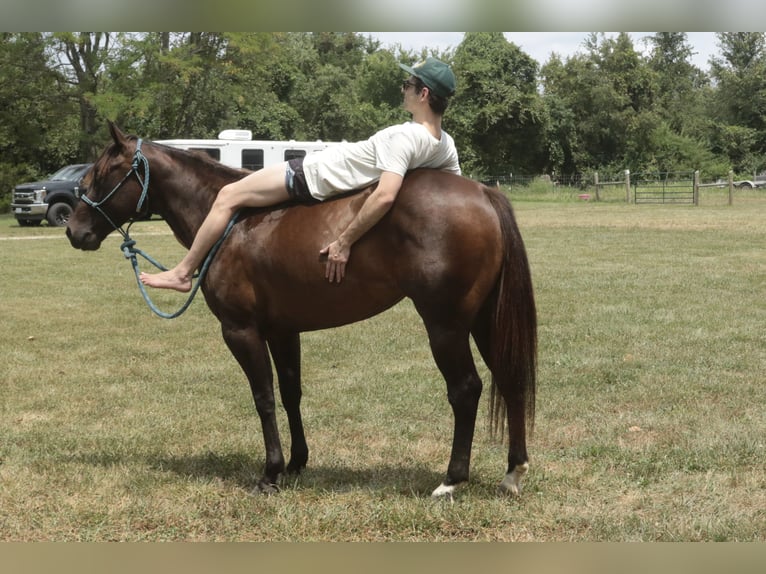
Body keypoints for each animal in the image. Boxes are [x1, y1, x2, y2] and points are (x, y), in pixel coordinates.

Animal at [66, 122, 537, 498]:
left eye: (103, 173)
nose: (74, 230)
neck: (231, 223)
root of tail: (483, 193)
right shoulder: (283, 330)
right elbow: (291, 393)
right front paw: (296, 463)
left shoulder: (241, 331)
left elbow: (263, 397)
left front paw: (270, 473)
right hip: (483, 321)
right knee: (510, 378)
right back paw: (513, 472)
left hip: (445, 325)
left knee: (466, 390)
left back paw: (452, 479)